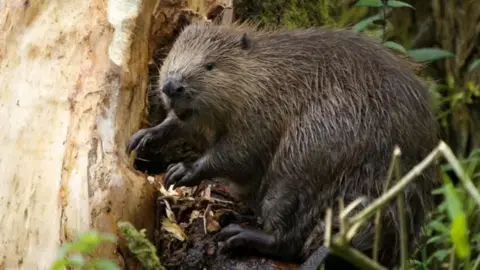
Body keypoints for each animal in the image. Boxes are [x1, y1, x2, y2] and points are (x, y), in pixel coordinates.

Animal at [126, 22, 438, 268]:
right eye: (172, 56)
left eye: (209, 65)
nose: (172, 86)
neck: (265, 73)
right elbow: (183, 126)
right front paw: (143, 137)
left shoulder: (264, 111)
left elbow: (240, 153)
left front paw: (181, 171)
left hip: (306, 158)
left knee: (287, 236)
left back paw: (238, 234)